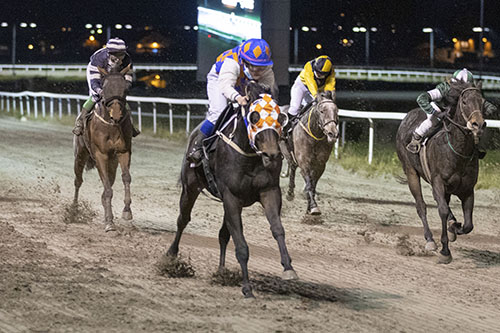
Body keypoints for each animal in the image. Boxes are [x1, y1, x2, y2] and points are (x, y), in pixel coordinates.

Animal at [73, 64, 134, 231]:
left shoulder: (123, 152)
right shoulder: (100, 155)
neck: (111, 127)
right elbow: (107, 189)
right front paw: (109, 222)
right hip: (80, 155)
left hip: (112, 162)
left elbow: (126, 178)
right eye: (105, 88)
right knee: (78, 181)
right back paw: (73, 210)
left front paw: (127, 211)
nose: (116, 116)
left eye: (125, 89)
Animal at [394, 80, 484, 262]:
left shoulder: (467, 190)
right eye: (465, 102)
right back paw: (430, 239)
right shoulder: (438, 182)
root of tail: (407, 116)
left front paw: (454, 227)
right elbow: (441, 210)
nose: (478, 124)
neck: (458, 151)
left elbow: (468, 225)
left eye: (483, 102)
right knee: (421, 206)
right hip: (411, 172)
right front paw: (445, 250)